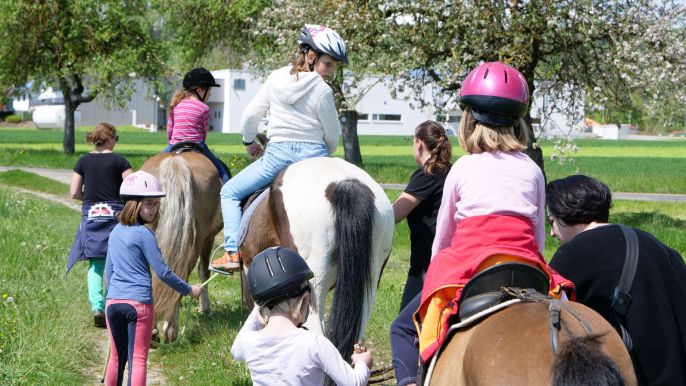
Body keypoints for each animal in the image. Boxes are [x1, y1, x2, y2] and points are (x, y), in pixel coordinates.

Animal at [140, 149, 223, 342]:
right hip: (195, 241)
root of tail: (175, 162)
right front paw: (205, 308)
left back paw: (154, 330)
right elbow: (204, 271)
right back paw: (171, 331)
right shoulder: (208, 238)